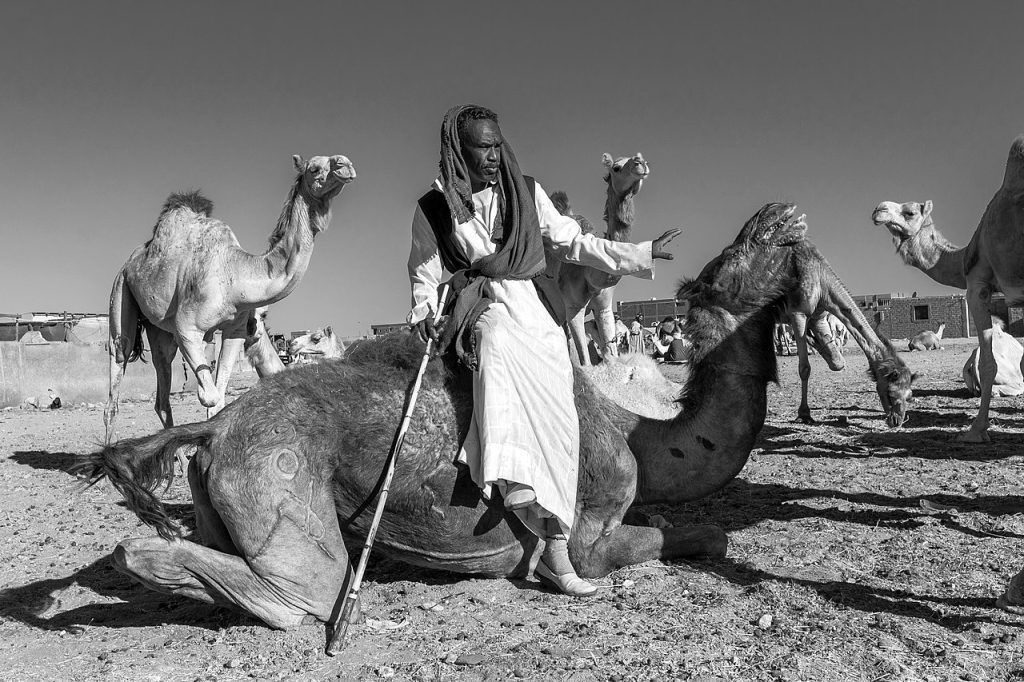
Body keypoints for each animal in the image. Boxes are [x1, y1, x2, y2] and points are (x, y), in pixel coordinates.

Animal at [82, 201, 823, 632]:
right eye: (738, 258)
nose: (782, 212)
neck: (634, 433)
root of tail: (215, 430)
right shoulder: (592, 529)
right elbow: (699, 538)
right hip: (276, 477)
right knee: (306, 593)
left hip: (224, 487)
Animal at [104, 155, 355, 445]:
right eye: (314, 169)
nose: (345, 165)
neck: (235, 276)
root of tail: (129, 263)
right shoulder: (187, 328)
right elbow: (210, 397)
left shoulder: (233, 330)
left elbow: (220, 398)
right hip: (121, 292)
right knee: (117, 370)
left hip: (160, 330)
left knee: (162, 387)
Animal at [557, 153, 650, 365]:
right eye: (616, 168)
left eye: (641, 159)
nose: (640, 163)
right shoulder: (573, 306)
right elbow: (585, 360)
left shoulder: (604, 308)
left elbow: (610, 356)